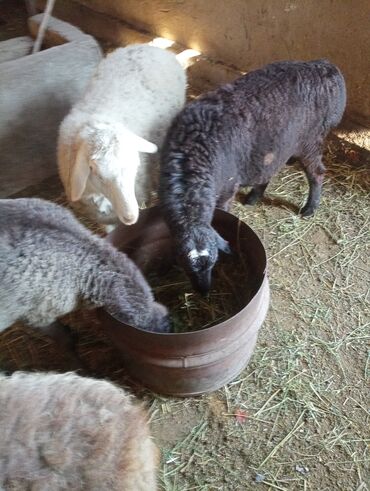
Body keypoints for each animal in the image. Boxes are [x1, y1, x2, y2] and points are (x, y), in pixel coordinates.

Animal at [160, 59, 346, 294]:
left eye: (214, 263)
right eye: (185, 267)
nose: (204, 292)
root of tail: (324, 66)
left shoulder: (226, 190)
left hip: (310, 141)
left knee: (317, 173)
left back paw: (310, 208)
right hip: (274, 146)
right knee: (268, 169)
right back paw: (254, 197)